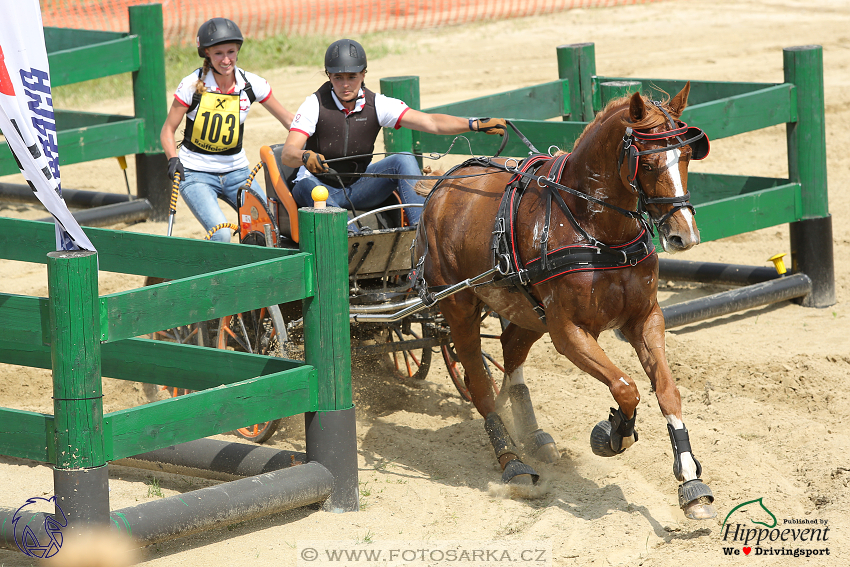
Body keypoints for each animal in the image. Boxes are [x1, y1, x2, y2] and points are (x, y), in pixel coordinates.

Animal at [414, 83, 712, 520]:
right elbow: (626, 387)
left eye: (688, 155)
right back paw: (513, 462)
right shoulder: (569, 331)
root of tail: (443, 183)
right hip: (460, 307)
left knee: (510, 350)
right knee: (478, 380)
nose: (683, 235)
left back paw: (533, 434)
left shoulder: (645, 319)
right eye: (648, 162)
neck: (595, 228)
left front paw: (690, 480)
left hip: (527, 312)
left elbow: (667, 391)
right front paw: (612, 434)